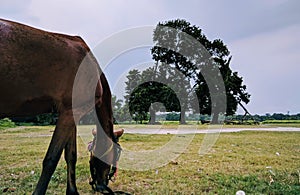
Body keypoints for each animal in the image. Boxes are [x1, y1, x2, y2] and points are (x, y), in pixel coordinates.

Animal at [0, 17, 117, 193]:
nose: (102, 185)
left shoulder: (71, 113)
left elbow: (71, 155)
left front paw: (72, 191)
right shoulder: (70, 112)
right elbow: (51, 159)